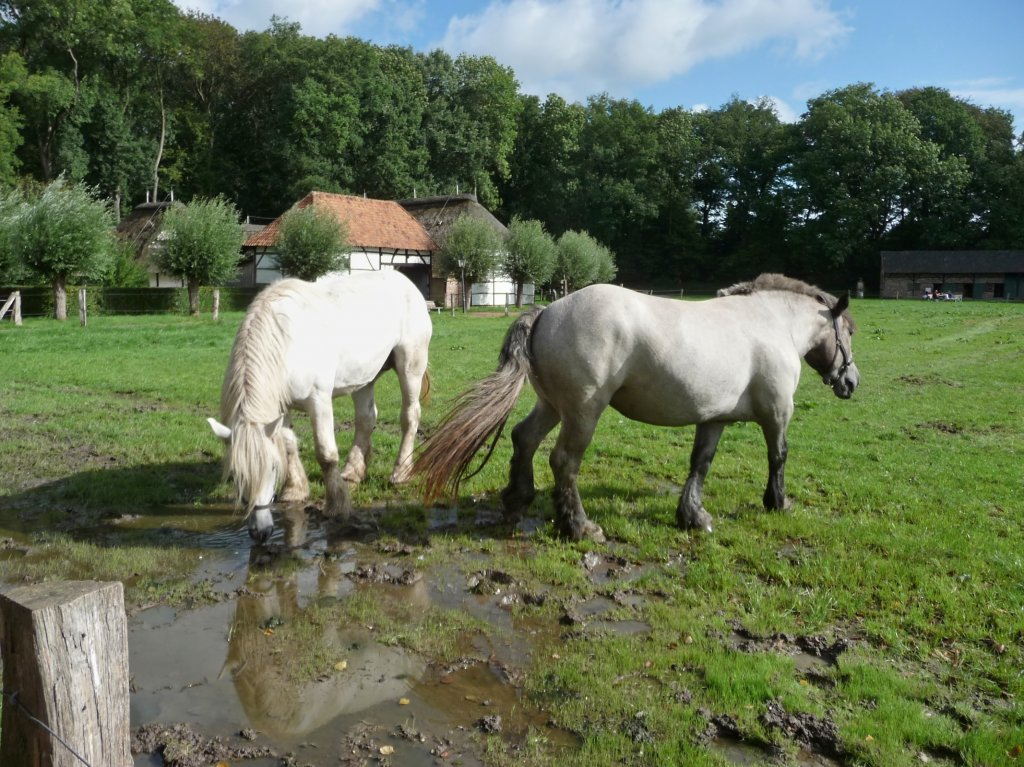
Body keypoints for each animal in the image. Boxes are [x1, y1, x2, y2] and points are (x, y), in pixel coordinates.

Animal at [207, 272, 432, 540]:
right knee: (366, 419)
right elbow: (289, 446)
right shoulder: (282, 406)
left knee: (410, 416)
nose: (260, 532)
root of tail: (406, 282)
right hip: (364, 378)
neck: (286, 342)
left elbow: (326, 453)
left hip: (410, 367)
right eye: (235, 475)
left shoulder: (319, 400)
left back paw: (400, 473)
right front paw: (295, 490)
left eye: (272, 467)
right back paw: (353, 472)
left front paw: (336, 505)